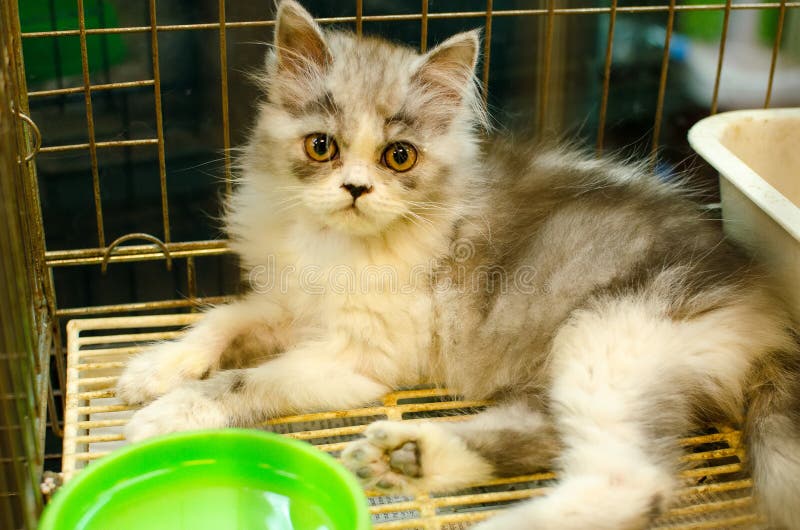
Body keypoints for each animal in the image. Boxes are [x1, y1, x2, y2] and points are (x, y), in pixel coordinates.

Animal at [115, 2, 800, 524]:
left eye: (399, 156)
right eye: (321, 147)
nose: (355, 189)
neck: (334, 245)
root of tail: (768, 312)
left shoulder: (360, 357)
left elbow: (247, 380)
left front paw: (170, 412)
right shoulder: (290, 302)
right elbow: (223, 319)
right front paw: (154, 369)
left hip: (612, 338)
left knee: (629, 481)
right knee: (544, 433)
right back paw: (413, 454)